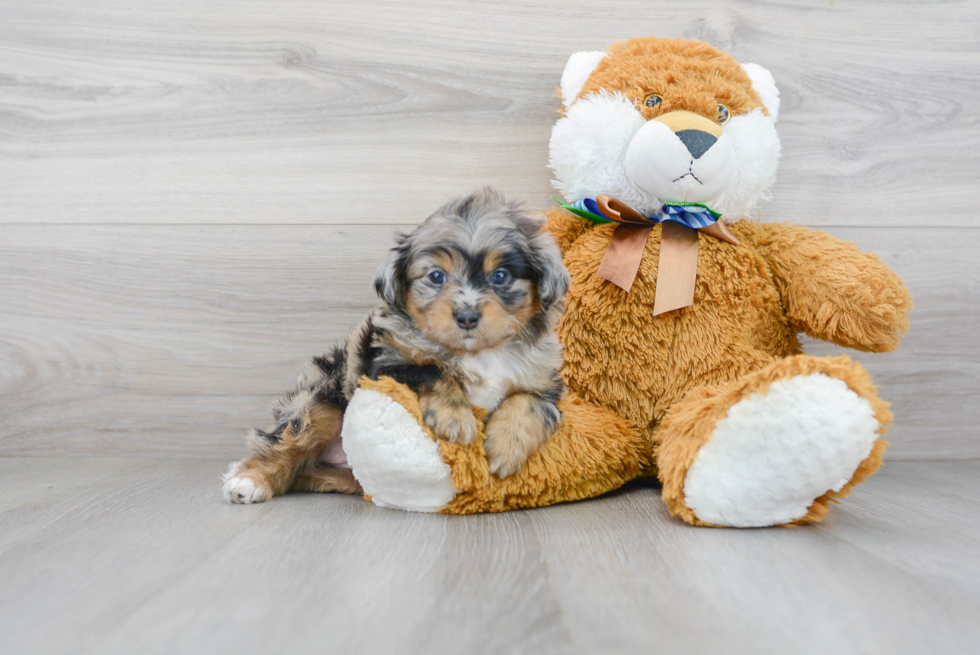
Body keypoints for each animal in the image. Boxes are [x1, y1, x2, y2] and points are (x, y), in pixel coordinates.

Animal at [223, 187, 572, 504]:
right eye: (436, 276)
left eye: (500, 276)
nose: (467, 316)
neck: (478, 353)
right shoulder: (384, 365)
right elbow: (432, 370)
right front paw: (455, 419)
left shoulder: (545, 383)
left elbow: (528, 404)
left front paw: (506, 448)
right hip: (321, 401)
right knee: (284, 444)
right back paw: (249, 481)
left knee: (306, 474)